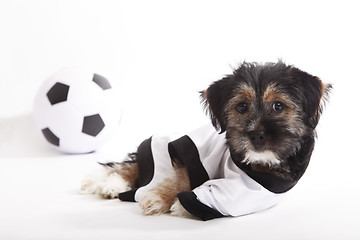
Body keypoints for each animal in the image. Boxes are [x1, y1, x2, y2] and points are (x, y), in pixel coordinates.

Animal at [80, 61, 330, 220]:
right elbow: (181, 179)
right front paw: (158, 198)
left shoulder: (244, 194)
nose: (256, 134)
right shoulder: (193, 154)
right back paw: (110, 184)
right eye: (241, 107)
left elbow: (206, 195)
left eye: (278, 106)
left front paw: (179, 206)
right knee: (129, 167)